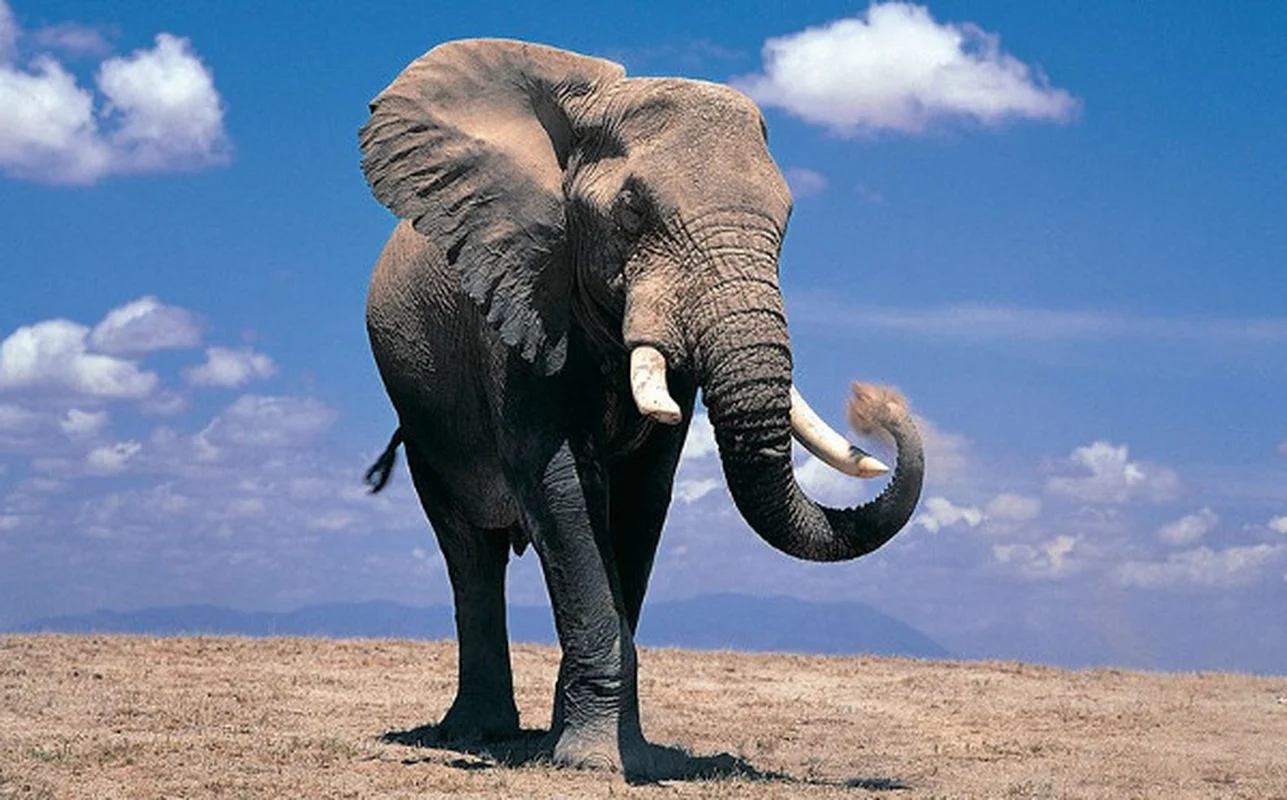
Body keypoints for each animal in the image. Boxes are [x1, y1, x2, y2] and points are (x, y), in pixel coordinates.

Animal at [358, 39, 925, 775]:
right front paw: (595, 763)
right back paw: (478, 734)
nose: (873, 402)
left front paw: (620, 756)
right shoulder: (520, 299)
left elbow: (640, 500)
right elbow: (563, 487)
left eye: (787, 221)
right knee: (469, 550)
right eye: (629, 215)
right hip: (422, 409)